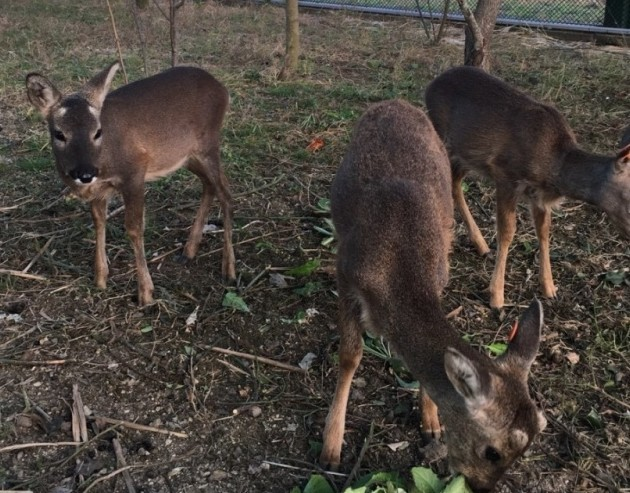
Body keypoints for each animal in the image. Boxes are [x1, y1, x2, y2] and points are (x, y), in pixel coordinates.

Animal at [24, 62, 237, 304]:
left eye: (97, 131)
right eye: (59, 133)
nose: (85, 173)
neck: (105, 159)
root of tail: (222, 89)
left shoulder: (135, 172)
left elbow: (134, 228)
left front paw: (145, 293)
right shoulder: (99, 189)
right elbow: (99, 222)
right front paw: (100, 279)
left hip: (208, 143)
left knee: (226, 193)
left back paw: (229, 270)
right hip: (187, 156)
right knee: (210, 185)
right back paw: (189, 251)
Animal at [320, 100, 548, 492]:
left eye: (528, 447)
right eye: (492, 451)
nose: (481, 487)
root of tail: (394, 102)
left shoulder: (439, 277)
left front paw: (431, 423)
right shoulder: (347, 274)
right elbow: (350, 355)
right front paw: (330, 448)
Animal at [424, 67, 630, 310]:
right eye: (628, 197)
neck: (554, 166)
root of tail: (430, 85)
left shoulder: (539, 196)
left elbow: (544, 231)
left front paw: (549, 287)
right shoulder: (505, 174)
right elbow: (507, 231)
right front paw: (497, 296)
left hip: (466, 155)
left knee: (455, 182)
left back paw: (480, 244)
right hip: (443, 138)